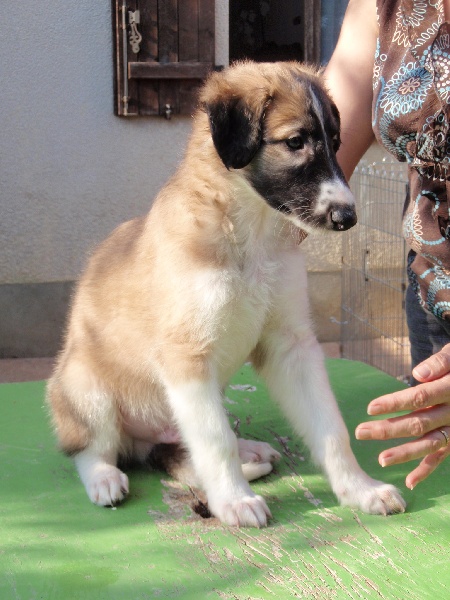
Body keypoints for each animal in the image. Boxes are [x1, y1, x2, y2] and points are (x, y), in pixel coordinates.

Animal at [47, 61, 406, 527]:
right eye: (295, 142)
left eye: (336, 142)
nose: (347, 217)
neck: (250, 232)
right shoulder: (188, 356)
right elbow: (214, 440)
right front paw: (234, 501)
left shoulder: (291, 344)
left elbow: (330, 428)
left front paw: (360, 490)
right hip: (87, 389)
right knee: (92, 449)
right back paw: (104, 478)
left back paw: (249, 450)